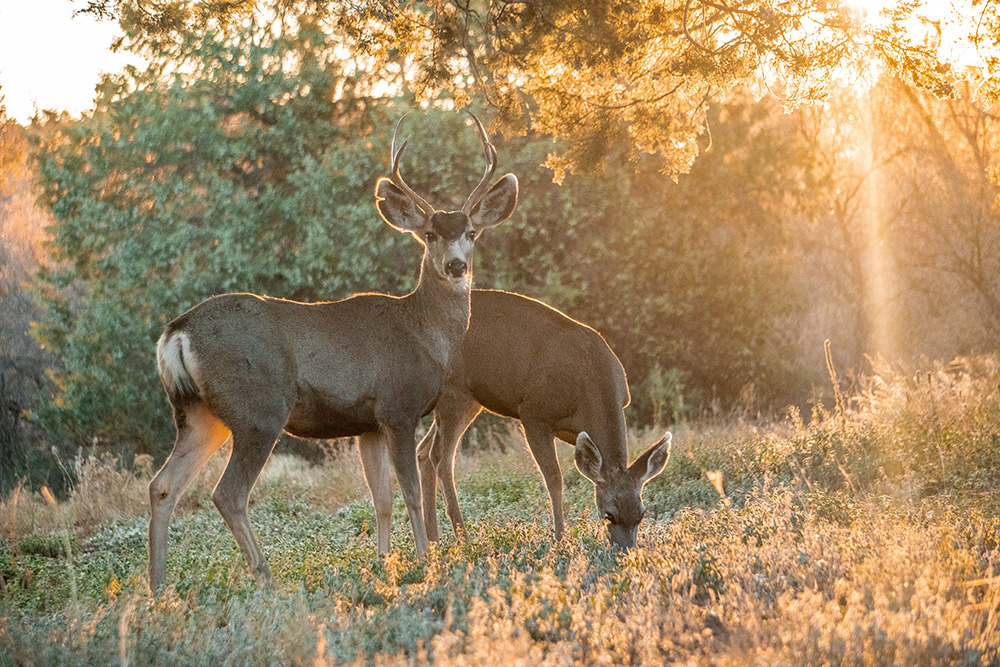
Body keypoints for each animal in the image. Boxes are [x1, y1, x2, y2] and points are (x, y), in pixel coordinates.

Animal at [147, 114, 518, 593]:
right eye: (430, 234)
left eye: (471, 233)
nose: (457, 266)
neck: (423, 333)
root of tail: (177, 333)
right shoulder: (398, 407)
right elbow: (410, 491)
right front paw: (424, 560)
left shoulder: (368, 424)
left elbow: (381, 497)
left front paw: (383, 562)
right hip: (258, 409)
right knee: (227, 493)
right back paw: (266, 578)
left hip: (198, 413)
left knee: (163, 486)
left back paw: (158, 590)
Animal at [415, 289, 672, 550]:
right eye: (609, 515)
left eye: (641, 514)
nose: (627, 549)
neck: (591, 382)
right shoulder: (533, 414)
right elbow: (554, 478)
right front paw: (560, 539)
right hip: (454, 390)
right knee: (441, 456)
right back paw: (464, 541)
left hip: (471, 399)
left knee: (423, 451)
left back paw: (431, 545)